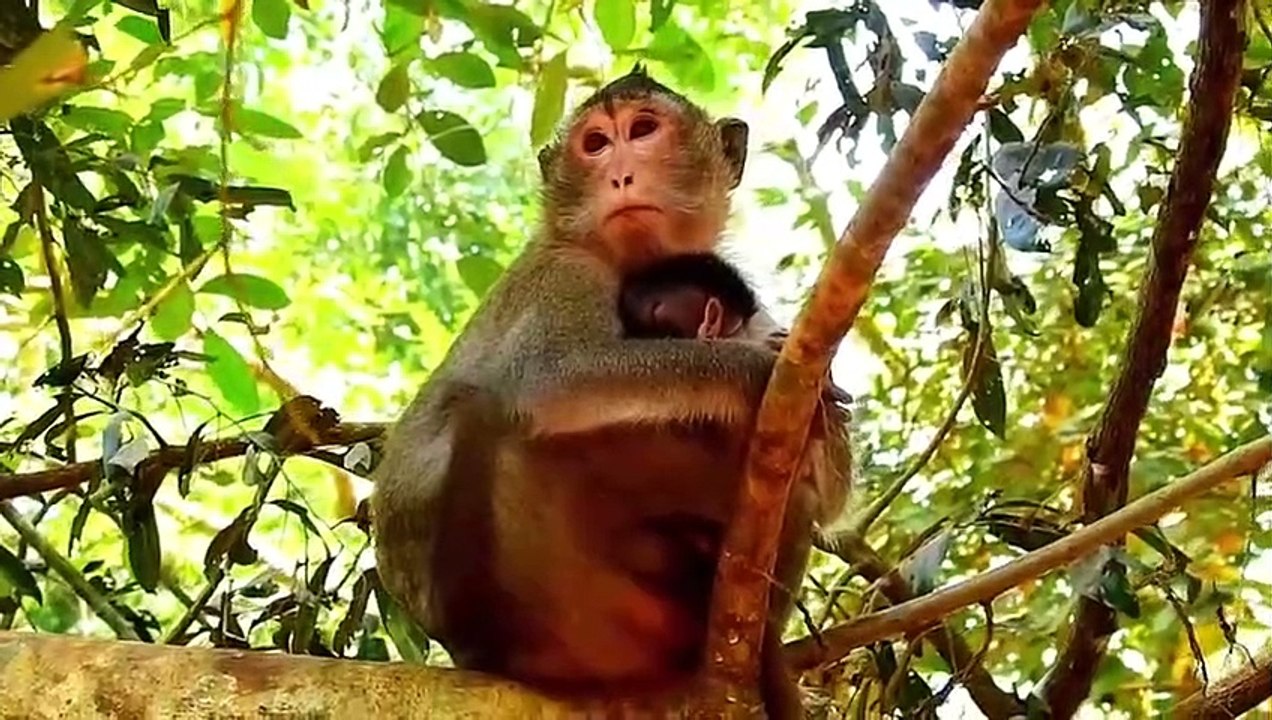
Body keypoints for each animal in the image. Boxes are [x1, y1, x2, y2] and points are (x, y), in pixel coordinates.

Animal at [371, 65, 851, 718]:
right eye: (596, 144)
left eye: (643, 130)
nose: (620, 173)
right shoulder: (566, 275)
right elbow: (551, 379)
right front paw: (748, 371)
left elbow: (828, 492)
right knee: (499, 416)